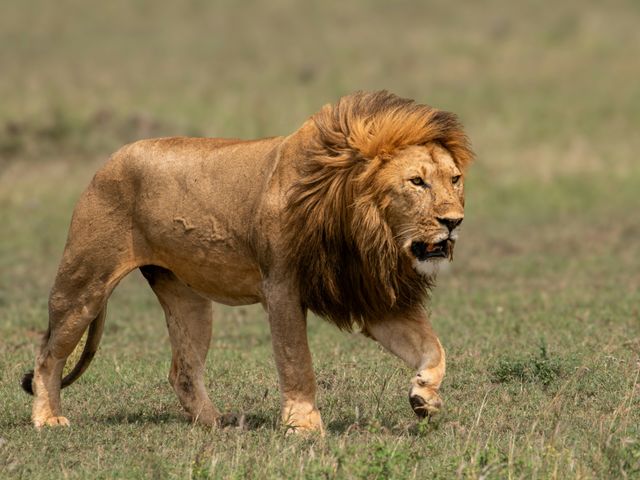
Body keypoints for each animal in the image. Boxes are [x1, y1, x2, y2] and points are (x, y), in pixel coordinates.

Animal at [22, 90, 473, 432]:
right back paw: (48, 419)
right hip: (85, 281)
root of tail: (110, 160)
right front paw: (303, 425)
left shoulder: (372, 297)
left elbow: (433, 348)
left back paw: (216, 423)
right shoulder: (282, 288)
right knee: (47, 354)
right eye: (416, 182)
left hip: (187, 299)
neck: (366, 228)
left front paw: (424, 395)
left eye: (454, 179)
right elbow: (296, 361)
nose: (454, 222)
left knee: (183, 370)